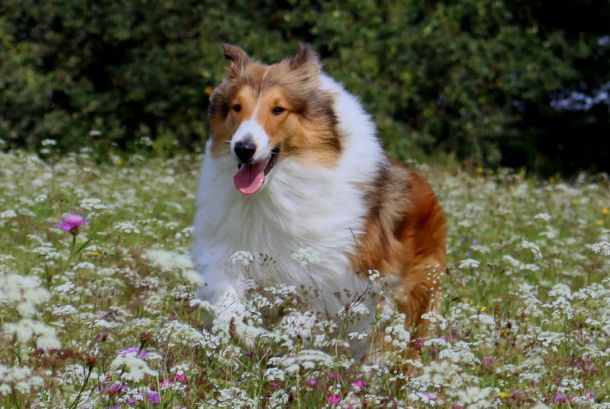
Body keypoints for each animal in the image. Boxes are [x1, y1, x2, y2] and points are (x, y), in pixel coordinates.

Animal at [191, 44, 446, 354]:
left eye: (278, 109)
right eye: (236, 107)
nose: (243, 148)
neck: (275, 191)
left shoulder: (342, 269)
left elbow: (316, 305)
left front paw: (287, 332)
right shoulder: (227, 253)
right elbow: (227, 302)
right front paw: (249, 333)